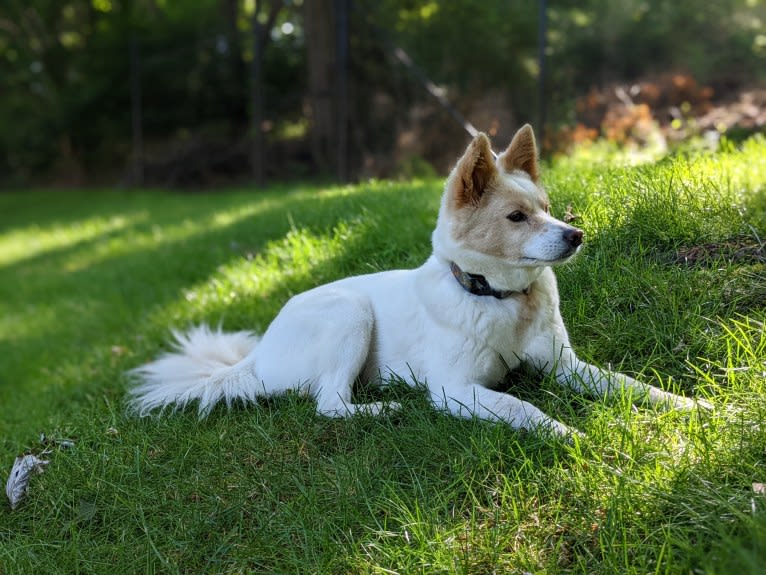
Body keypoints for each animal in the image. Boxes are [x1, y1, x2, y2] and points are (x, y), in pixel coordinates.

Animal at [130, 124, 704, 434]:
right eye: (517, 217)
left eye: (546, 207)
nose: (576, 234)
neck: (500, 297)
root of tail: (256, 354)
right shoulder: (455, 389)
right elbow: (521, 405)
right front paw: (567, 433)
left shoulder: (567, 367)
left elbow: (629, 385)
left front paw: (691, 405)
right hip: (349, 314)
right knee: (330, 405)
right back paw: (384, 408)